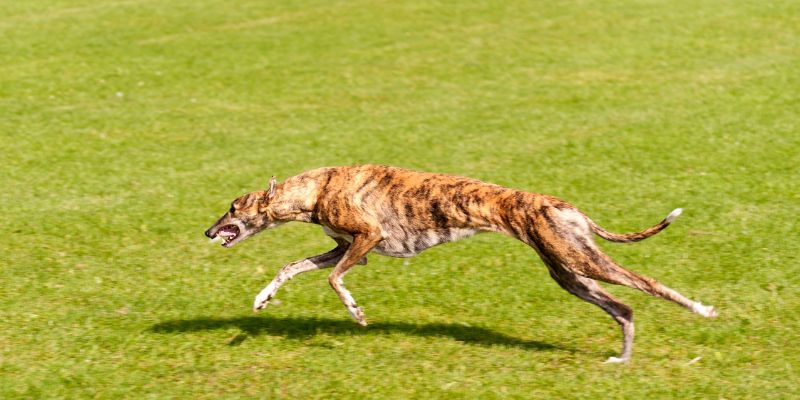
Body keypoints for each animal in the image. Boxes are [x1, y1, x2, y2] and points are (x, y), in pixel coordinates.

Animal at [206, 166, 720, 362]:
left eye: (233, 207)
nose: (208, 232)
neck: (317, 187)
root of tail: (565, 206)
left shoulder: (366, 239)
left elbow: (334, 281)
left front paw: (356, 313)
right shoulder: (349, 248)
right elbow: (290, 267)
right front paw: (262, 300)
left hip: (582, 260)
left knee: (648, 284)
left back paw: (703, 310)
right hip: (568, 272)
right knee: (624, 308)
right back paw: (622, 358)